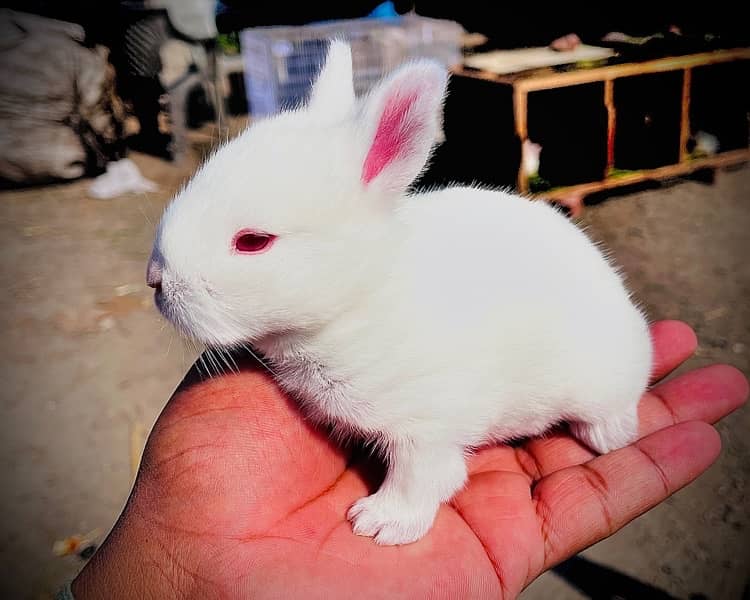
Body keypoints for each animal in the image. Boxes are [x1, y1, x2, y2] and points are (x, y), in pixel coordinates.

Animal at [147, 39, 652, 548]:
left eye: (253, 241)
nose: (155, 279)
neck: (357, 304)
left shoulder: (425, 428)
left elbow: (423, 479)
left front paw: (380, 523)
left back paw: (609, 435)